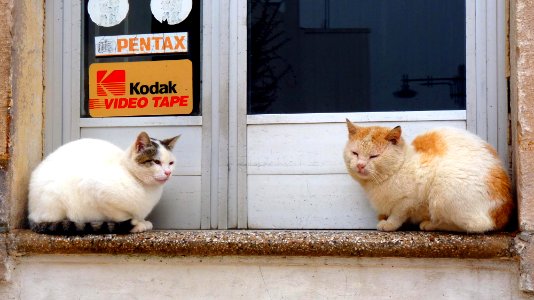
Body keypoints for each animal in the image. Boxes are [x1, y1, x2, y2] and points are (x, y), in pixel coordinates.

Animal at [27, 132, 180, 234]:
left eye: (171, 163)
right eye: (156, 162)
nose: (168, 172)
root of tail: (31, 212)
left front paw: (141, 221)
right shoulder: (94, 190)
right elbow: (120, 215)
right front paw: (136, 224)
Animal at [344, 119, 516, 232]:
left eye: (374, 156)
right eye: (355, 153)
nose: (360, 165)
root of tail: (502, 213)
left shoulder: (409, 200)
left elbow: (398, 213)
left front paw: (389, 224)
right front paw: (382, 218)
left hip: (443, 190)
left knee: (475, 226)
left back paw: (431, 224)